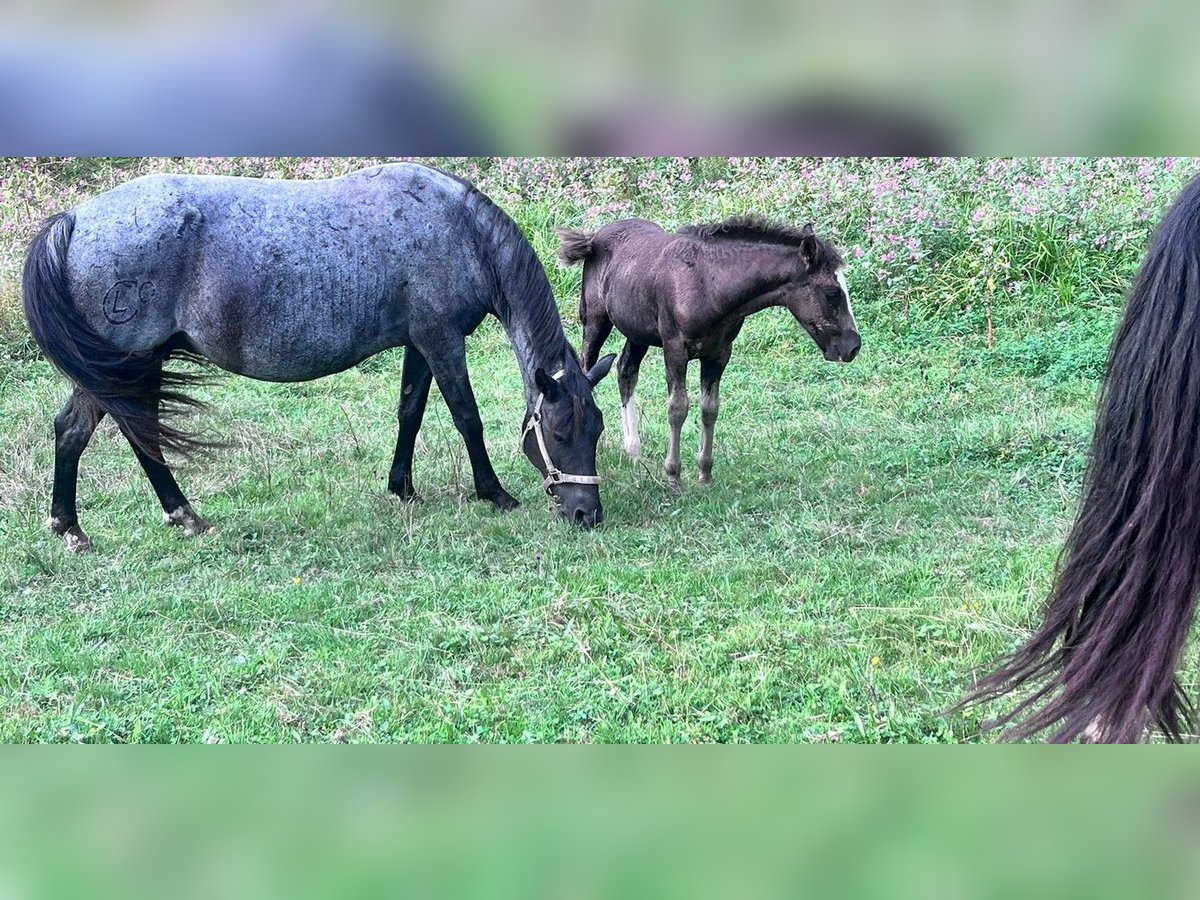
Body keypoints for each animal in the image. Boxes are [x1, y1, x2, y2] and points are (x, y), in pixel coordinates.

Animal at [23, 164, 614, 554]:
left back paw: (72, 526)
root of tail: (75, 218)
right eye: (560, 432)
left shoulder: (419, 343)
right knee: (128, 432)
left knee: (75, 430)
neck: (461, 231)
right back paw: (180, 516)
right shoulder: (441, 338)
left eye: (598, 429)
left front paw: (402, 488)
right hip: (130, 363)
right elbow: (467, 418)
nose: (586, 513)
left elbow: (410, 413)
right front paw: (494, 493)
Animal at [556, 217, 859, 487]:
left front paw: (705, 473)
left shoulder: (719, 354)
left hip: (637, 332)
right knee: (588, 366)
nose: (853, 346)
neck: (708, 285)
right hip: (595, 321)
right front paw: (673, 476)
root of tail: (595, 237)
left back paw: (633, 451)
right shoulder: (674, 349)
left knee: (626, 372)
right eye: (833, 293)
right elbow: (677, 408)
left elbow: (709, 409)